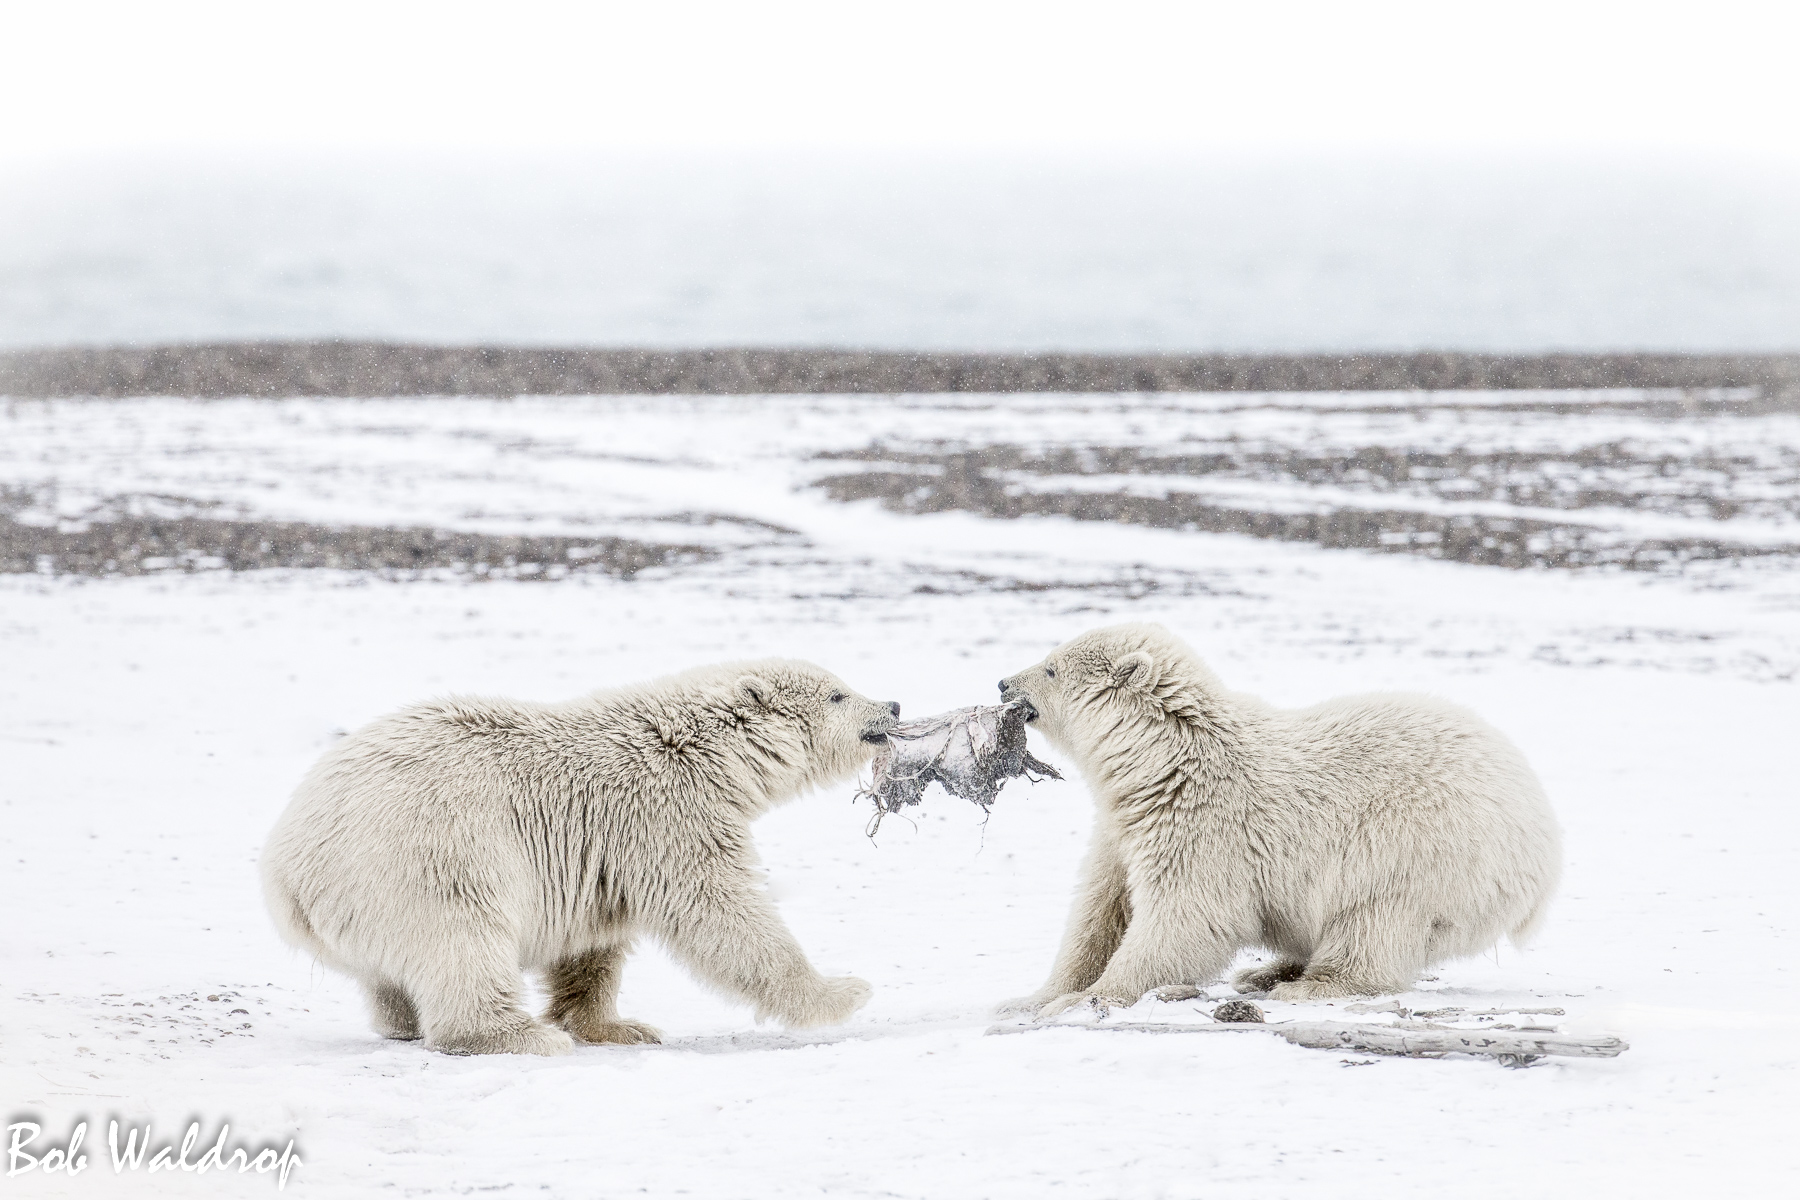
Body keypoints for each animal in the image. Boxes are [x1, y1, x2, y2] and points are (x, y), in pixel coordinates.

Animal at [262, 662, 900, 1057]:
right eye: (838, 693)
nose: (892, 704)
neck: (701, 753)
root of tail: (289, 868)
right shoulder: (662, 812)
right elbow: (719, 909)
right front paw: (844, 992)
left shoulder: (600, 848)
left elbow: (592, 943)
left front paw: (618, 1026)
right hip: (431, 853)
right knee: (463, 939)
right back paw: (515, 1035)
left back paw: (406, 1022)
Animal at [1000, 626, 1562, 1021]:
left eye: (1050, 669)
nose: (1004, 681)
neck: (1165, 761)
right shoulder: (1126, 827)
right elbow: (1100, 912)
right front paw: (1031, 997)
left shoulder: (1205, 826)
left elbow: (1188, 917)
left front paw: (1087, 1000)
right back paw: (1264, 973)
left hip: (1419, 845)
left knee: (1371, 918)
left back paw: (1306, 983)